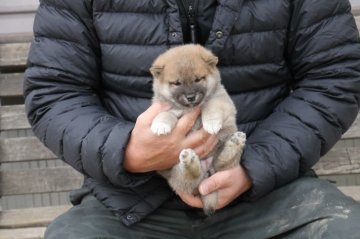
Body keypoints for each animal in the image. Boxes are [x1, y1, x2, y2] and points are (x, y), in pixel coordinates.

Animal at [148, 44, 245, 215]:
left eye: (198, 79)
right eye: (176, 83)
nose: (191, 97)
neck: (190, 108)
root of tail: (207, 172)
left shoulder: (220, 100)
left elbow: (210, 106)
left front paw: (211, 123)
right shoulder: (170, 108)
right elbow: (165, 114)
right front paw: (160, 124)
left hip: (221, 152)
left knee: (222, 164)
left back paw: (235, 142)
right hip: (177, 174)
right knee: (191, 177)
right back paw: (190, 161)